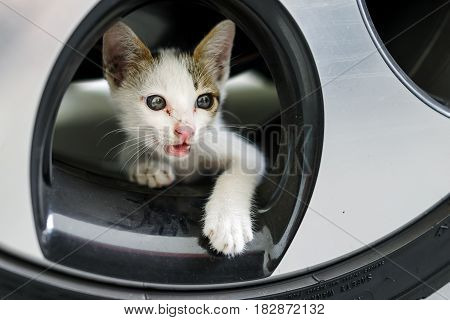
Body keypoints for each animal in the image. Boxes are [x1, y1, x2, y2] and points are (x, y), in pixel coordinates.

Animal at [103, 20, 264, 255]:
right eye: (156, 102)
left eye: (204, 101)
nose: (186, 130)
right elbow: (128, 152)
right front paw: (148, 166)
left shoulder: (233, 147)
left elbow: (240, 170)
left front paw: (228, 222)